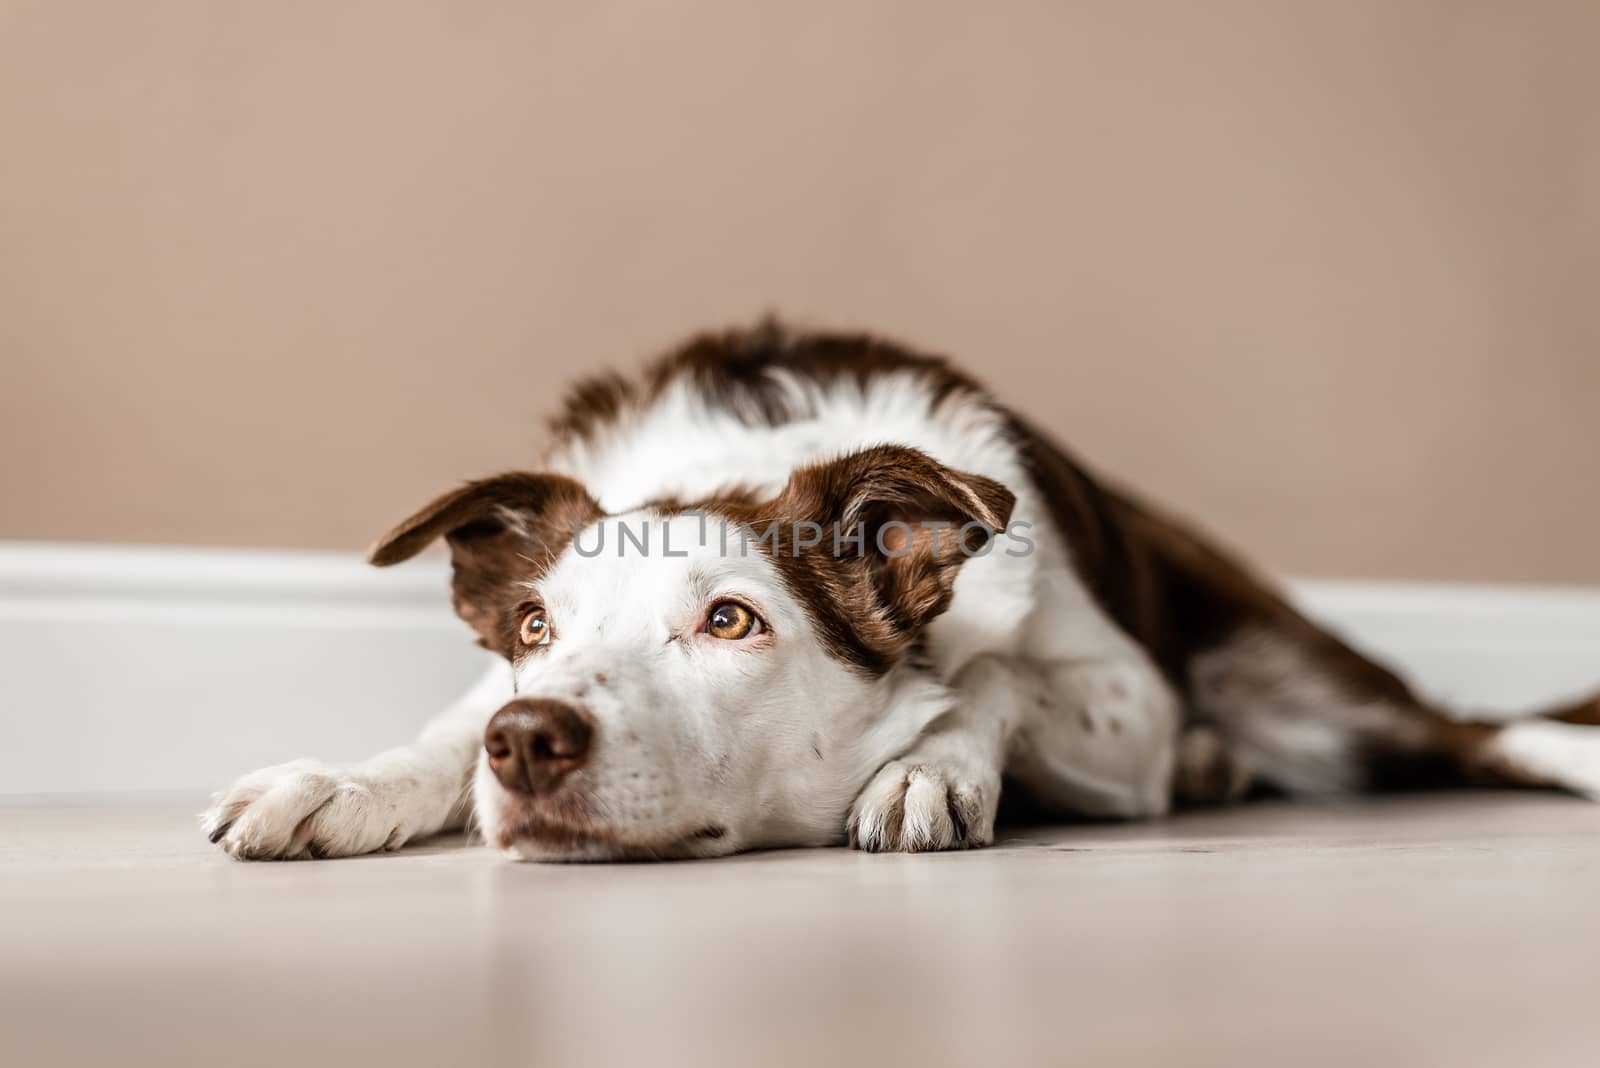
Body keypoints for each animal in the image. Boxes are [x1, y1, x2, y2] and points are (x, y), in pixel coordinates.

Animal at [200, 321, 1600, 863]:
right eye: (534, 630)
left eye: (730, 620)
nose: (529, 740)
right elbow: (438, 734)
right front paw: (339, 783)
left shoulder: (1127, 701)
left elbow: (991, 669)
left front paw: (930, 766)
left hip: (1302, 685)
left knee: (1474, 730)